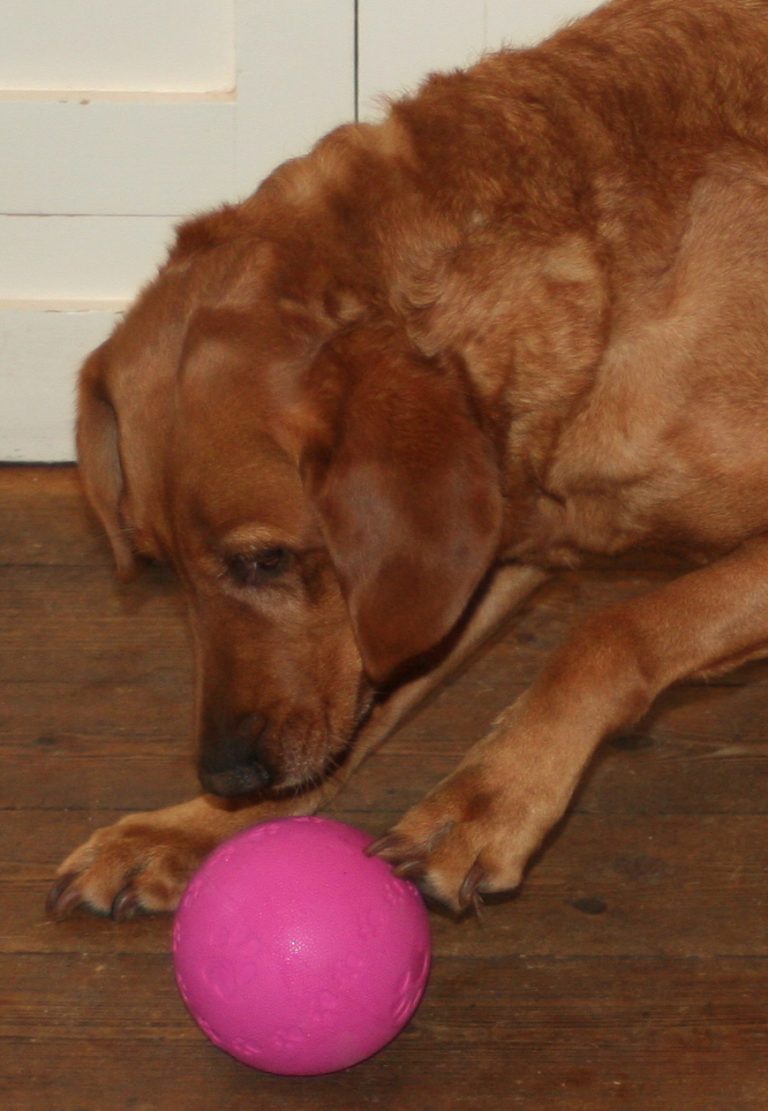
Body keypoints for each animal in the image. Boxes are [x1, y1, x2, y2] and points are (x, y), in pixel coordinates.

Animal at [48, 0, 768, 919]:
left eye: (264, 559)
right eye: (161, 564)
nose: (228, 775)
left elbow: (609, 632)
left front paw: (483, 804)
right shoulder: (468, 568)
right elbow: (367, 712)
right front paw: (181, 830)